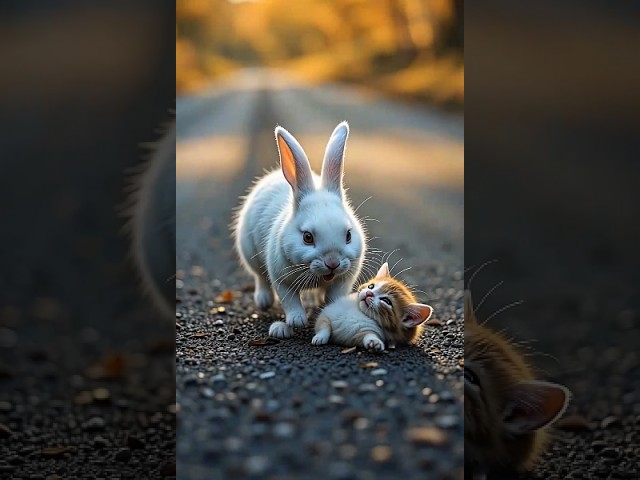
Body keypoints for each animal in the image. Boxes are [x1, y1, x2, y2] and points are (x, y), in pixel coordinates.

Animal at [234, 121, 364, 338]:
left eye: (348, 235)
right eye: (307, 237)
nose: (333, 263)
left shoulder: (344, 279)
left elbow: (334, 297)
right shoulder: (281, 280)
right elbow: (290, 301)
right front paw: (297, 321)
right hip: (250, 253)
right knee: (260, 277)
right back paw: (263, 301)